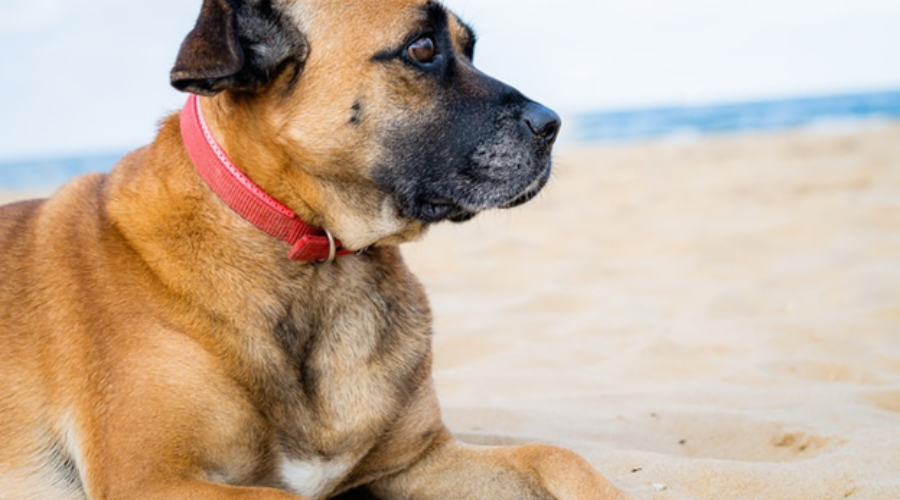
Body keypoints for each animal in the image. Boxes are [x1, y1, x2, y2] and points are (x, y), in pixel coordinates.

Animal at [0, 0, 628, 500]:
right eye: (423, 48)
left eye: (470, 48)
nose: (553, 124)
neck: (312, 257)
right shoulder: (154, 480)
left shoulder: (415, 461)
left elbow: (552, 454)